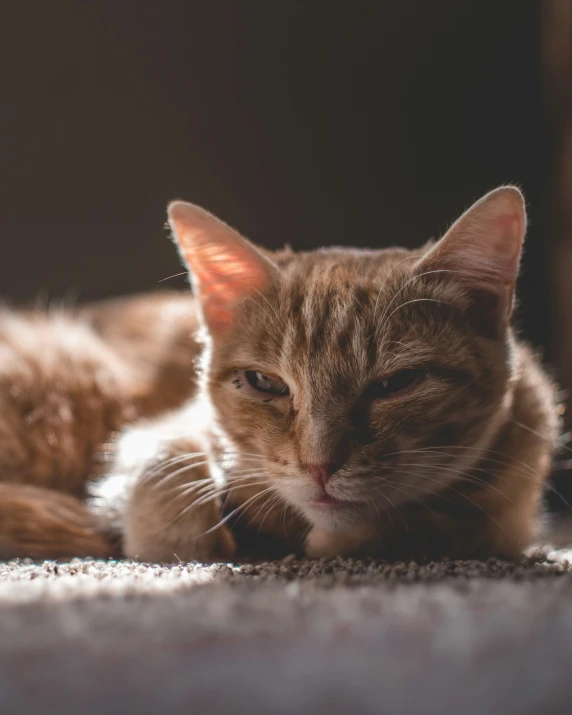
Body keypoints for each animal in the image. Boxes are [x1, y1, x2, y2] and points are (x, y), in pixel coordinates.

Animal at [0, 186, 560, 564]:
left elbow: (440, 522)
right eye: (265, 384)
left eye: (395, 385)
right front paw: (178, 541)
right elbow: (167, 470)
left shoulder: (507, 515)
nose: (318, 466)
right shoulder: (170, 429)